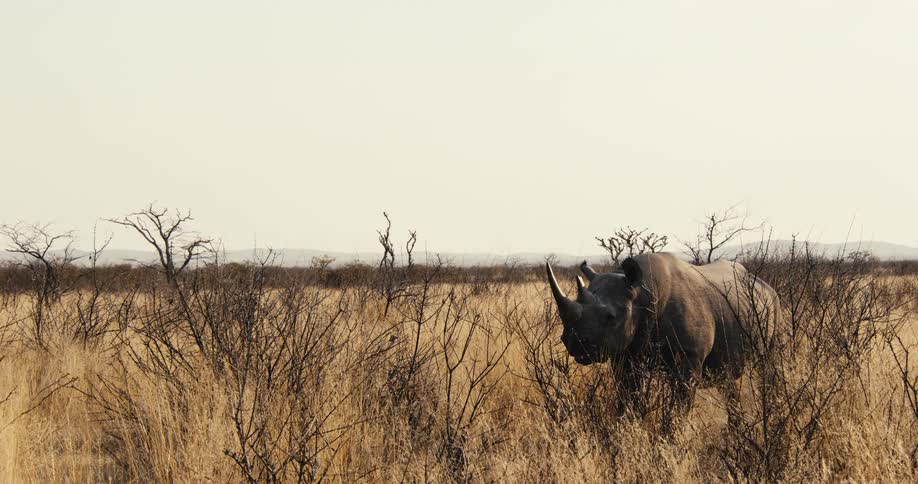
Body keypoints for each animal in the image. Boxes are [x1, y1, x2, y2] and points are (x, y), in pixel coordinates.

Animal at [546, 252, 781, 417]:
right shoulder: (627, 353)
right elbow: (627, 397)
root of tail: (766, 285)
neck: (642, 290)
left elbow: (679, 406)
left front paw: (671, 438)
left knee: (769, 365)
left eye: (610, 317)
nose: (573, 342)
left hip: (775, 305)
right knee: (728, 381)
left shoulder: (690, 355)